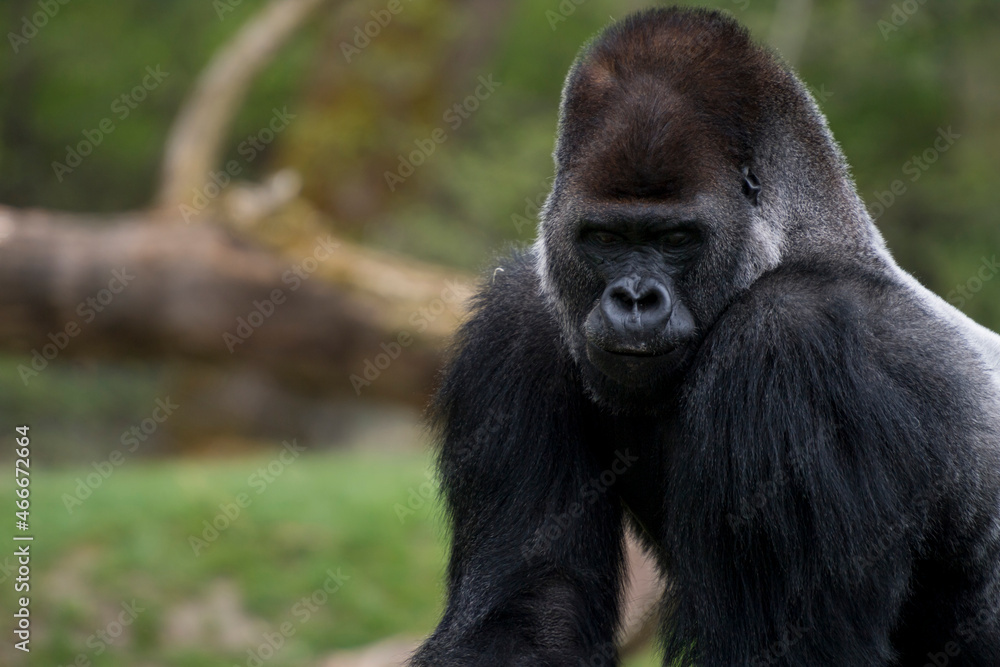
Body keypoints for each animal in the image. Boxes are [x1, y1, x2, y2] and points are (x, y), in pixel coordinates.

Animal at [410, 6, 1000, 667]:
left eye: (675, 239)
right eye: (605, 238)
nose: (634, 299)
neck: (801, 243)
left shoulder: (793, 338)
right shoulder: (519, 320)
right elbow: (531, 612)